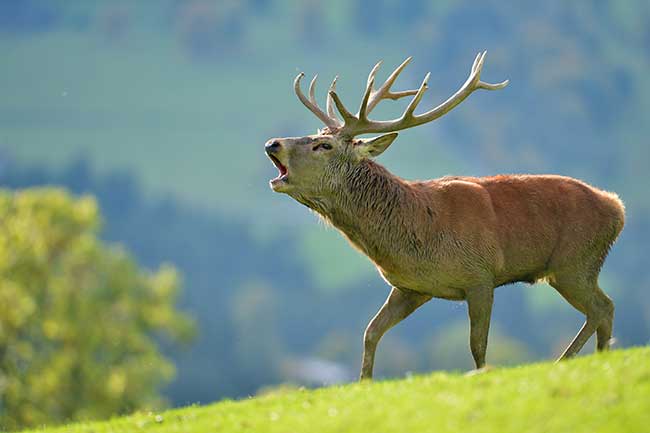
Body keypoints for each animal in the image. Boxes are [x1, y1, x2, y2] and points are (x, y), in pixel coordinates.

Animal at [262, 52, 624, 380]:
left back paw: (567, 360)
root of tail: (617, 208)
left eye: (324, 146)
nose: (272, 143)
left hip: (573, 261)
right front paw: (363, 383)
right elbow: (371, 332)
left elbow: (477, 345)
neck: (415, 238)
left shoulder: (481, 275)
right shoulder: (412, 287)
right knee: (604, 308)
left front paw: (480, 375)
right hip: (575, 267)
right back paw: (599, 358)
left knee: (601, 307)